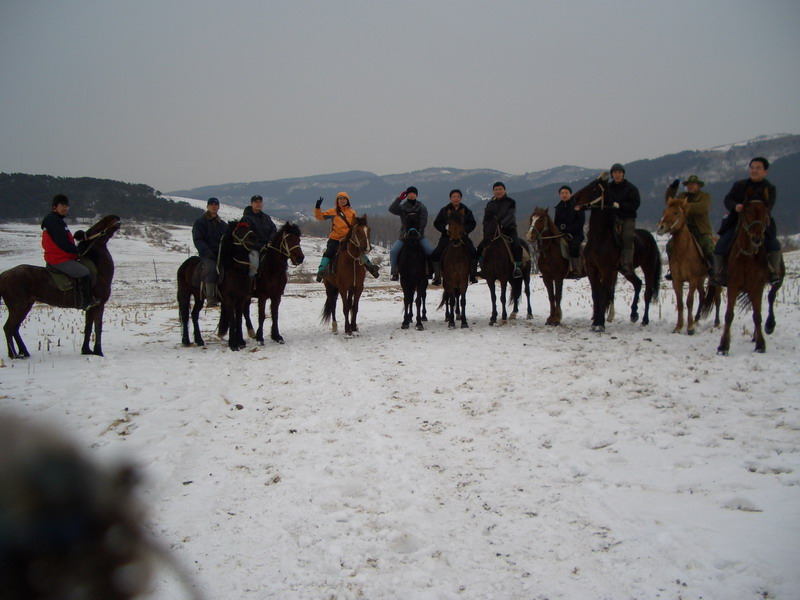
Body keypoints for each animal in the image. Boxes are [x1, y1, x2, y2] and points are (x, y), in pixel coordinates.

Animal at [0, 214, 122, 358]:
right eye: (99, 227)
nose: (115, 217)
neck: (98, 270)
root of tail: (3, 275)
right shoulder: (99, 305)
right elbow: (98, 327)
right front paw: (98, 351)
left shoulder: (91, 308)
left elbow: (88, 327)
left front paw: (86, 350)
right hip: (18, 306)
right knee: (8, 328)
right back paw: (14, 354)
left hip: (26, 306)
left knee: (14, 329)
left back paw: (23, 352)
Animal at [576, 173, 664, 332]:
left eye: (594, 189)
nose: (575, 198)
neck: (600, 238)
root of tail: (650, 237)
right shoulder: (593, 269)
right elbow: (596, 295)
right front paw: (595, 323)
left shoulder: (607, 270)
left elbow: (604, 295)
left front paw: (600, 324)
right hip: (625, 270)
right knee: (638, 283)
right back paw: (634, 314)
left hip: (648, 267)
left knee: (647, 292)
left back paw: (644, 320)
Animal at [656, 198, 720, 336]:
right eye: (664, 211)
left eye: (676, 212)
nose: (660, 228)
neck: (683, 252)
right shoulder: (677, 281)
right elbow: (680, 303)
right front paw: (678, 327)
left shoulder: (692, 280)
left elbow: (689, 301)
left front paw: (690, 328)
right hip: (701, 279)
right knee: (702, 295)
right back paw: (696, 318)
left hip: (714, 281)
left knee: (717, 299)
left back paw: (716, 323)